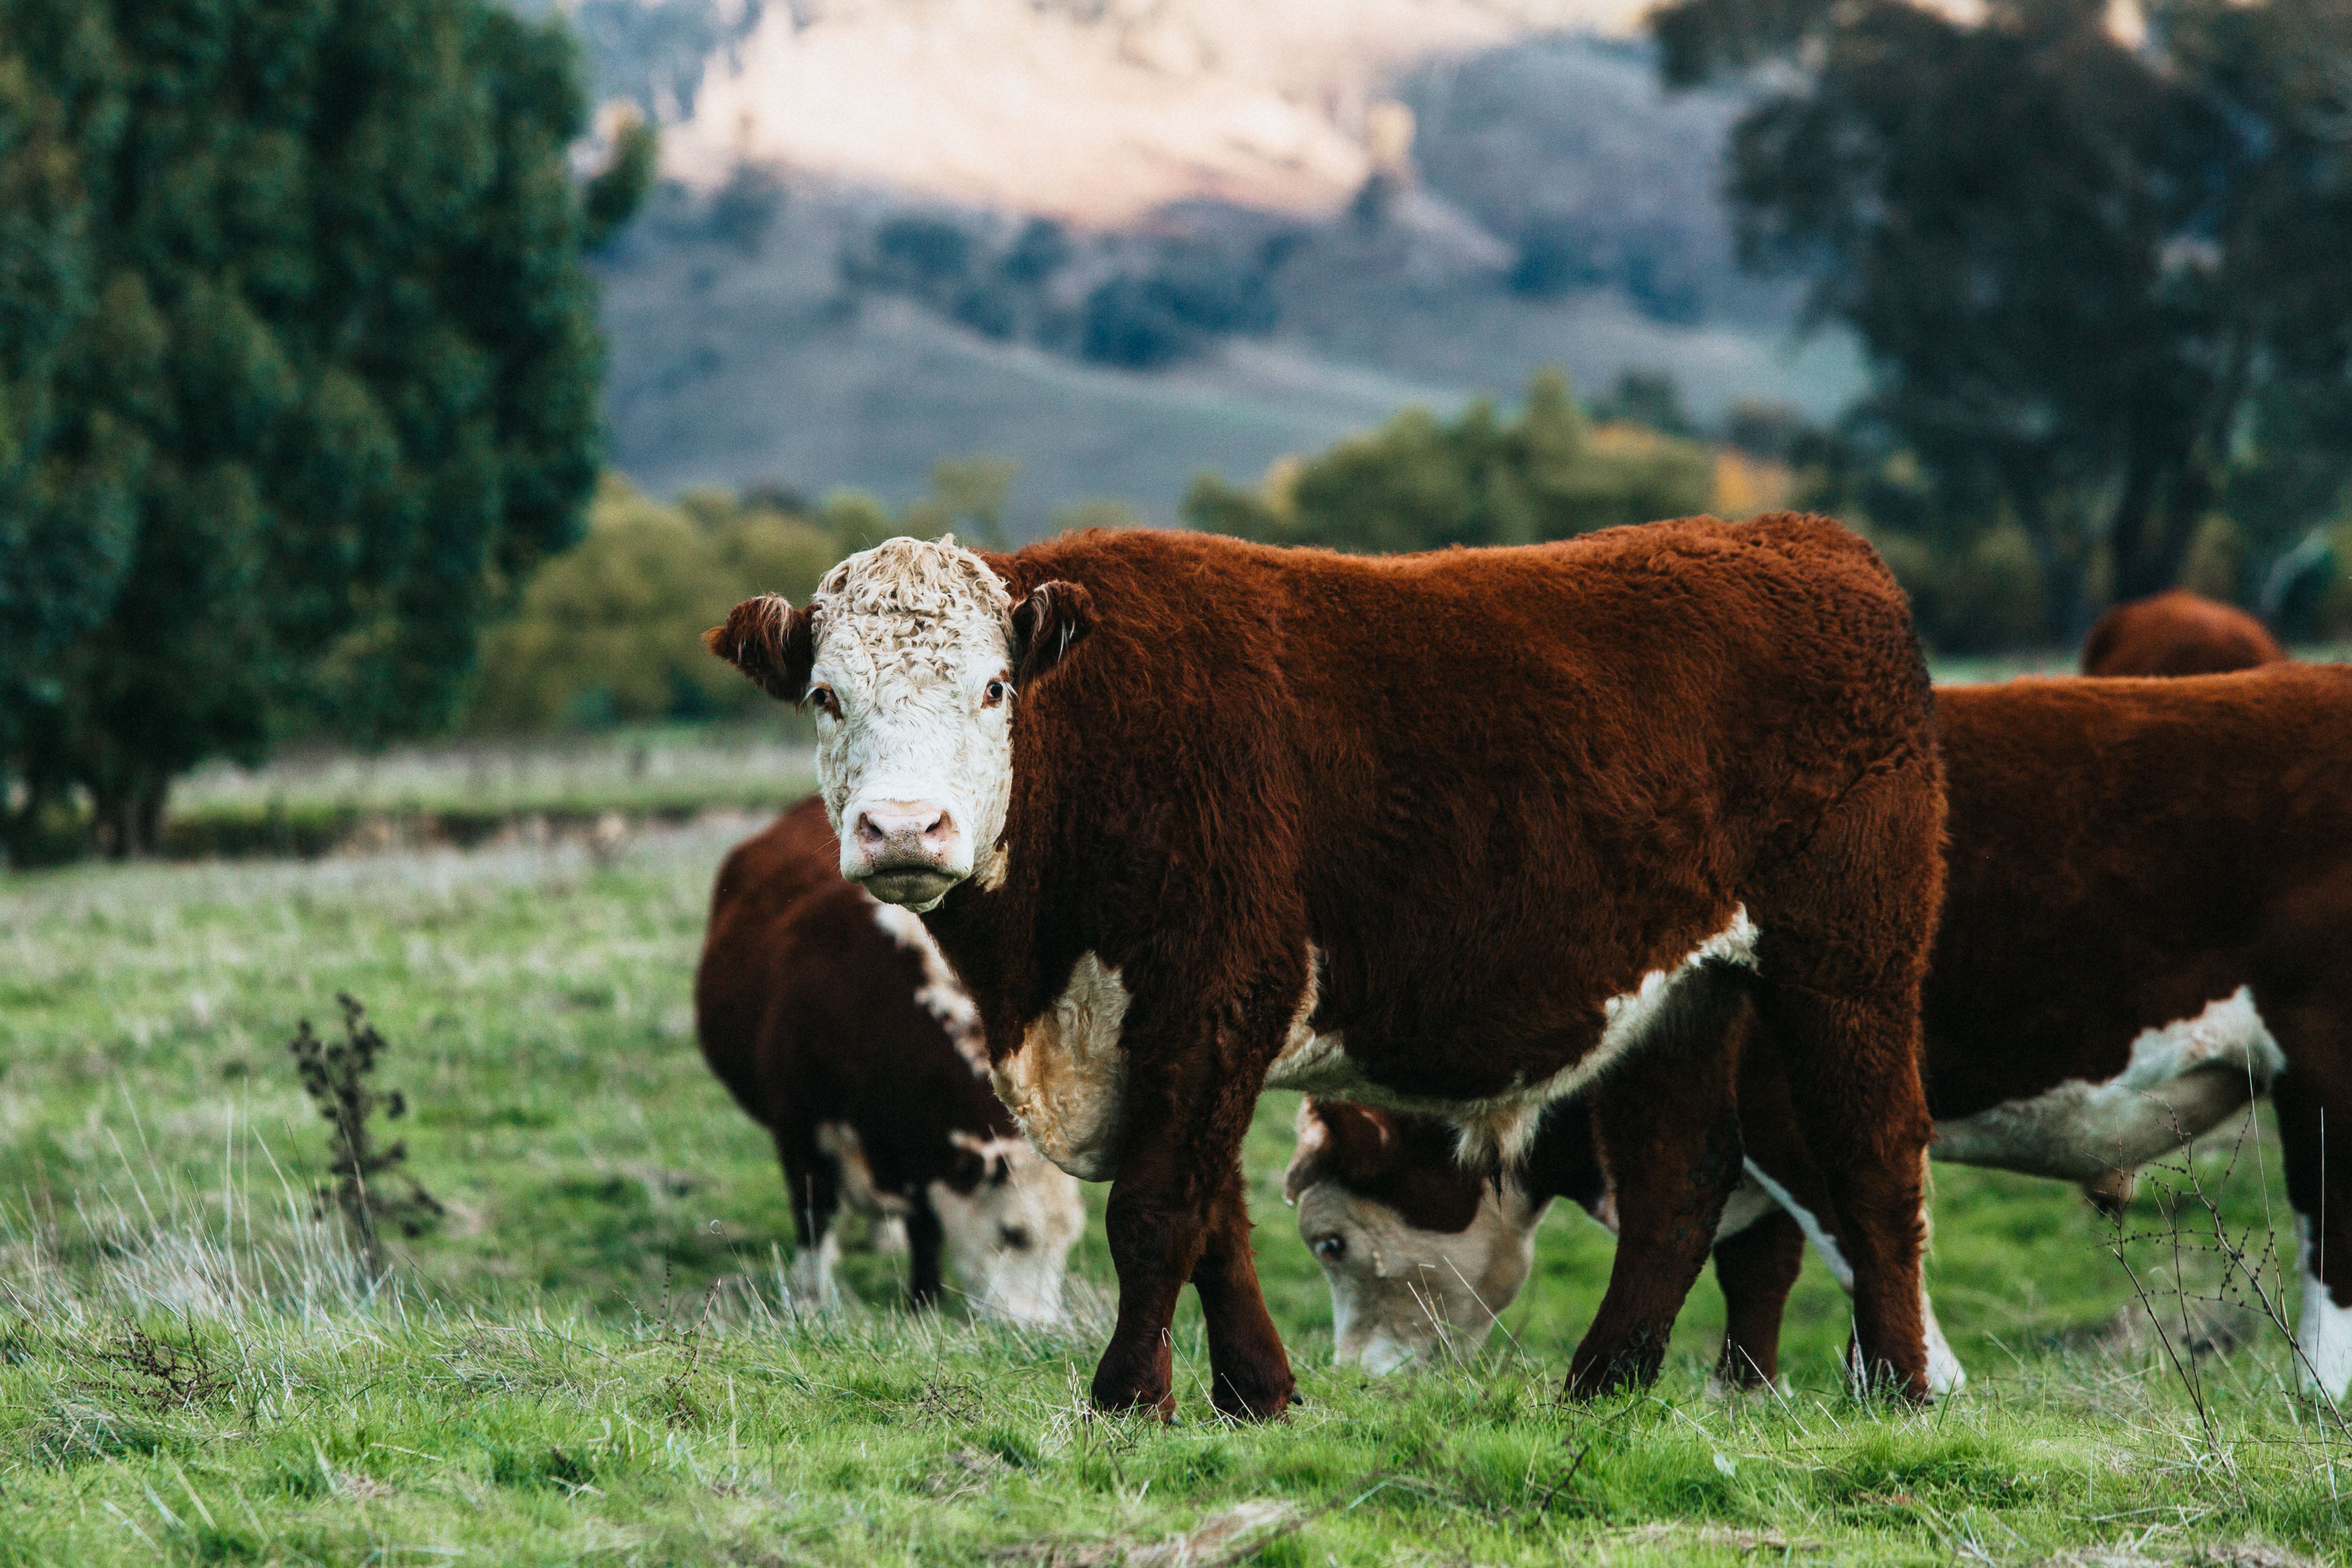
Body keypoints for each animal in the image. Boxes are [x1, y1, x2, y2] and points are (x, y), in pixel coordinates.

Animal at [695, 795, 1085, 1323]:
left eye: (1065, 1241)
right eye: (1012, 1233)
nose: (1036, 1328)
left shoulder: (920, 1140)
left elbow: (925, 1226)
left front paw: (923, 1299)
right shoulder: (798, 1126)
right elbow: (814, 1212)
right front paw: (814, 1297)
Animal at [1285, 665, 2352, 1399]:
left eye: (1328, 1242)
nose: (1351, 1380)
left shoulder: (1779, 1108)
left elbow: (1842, 1234)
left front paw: (1914, 1379)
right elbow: (1762, 1262)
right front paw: (1749, 1391)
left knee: (2327, 1233)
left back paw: (2318, 1390)